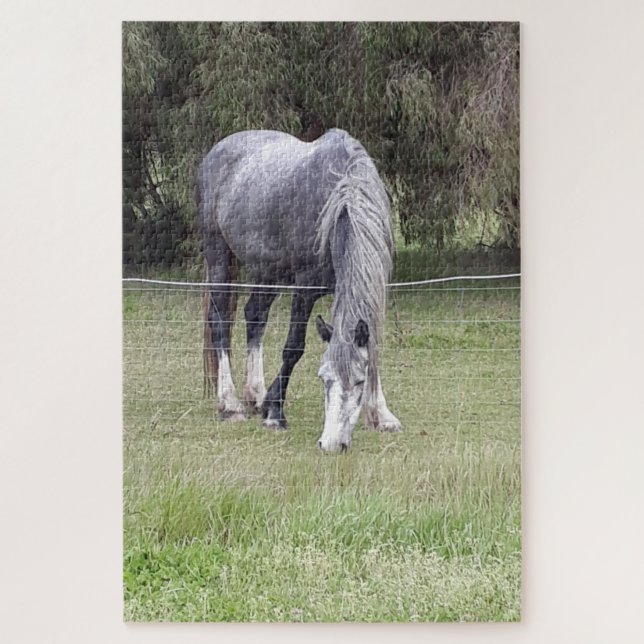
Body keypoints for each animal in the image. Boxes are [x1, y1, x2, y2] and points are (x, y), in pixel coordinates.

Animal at [198, 128, 402, 452]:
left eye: (359, 382)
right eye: (323, 379)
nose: (331, 444)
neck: (342, 196)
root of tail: (219, 149)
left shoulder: (378, 288)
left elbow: (374, 347)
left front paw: (382, 415)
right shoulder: (304, 289)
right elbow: (293, 347)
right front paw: (275, 414)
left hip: (267, 271)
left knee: (255, 315)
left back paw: (255, 395)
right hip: (218, 255)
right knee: (219, 322)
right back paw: (230, 404)